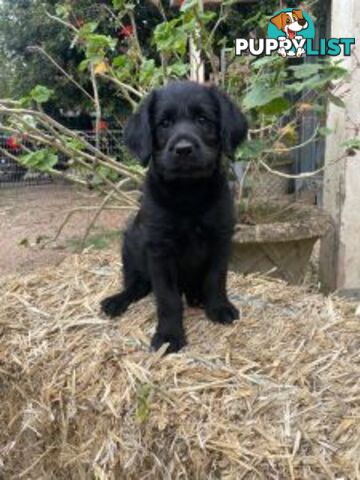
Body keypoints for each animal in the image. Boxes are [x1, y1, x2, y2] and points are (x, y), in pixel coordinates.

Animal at [101, 81, 248, 352]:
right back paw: (116, 301)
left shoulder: (221, 239)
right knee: (136, 286)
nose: (183, 150)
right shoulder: (160, 250)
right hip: (131, 246)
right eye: (164, 123)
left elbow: (216, 278)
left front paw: (219, 307)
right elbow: (167, 298)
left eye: (202, 119)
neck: (187, 194)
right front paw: (169, 335)